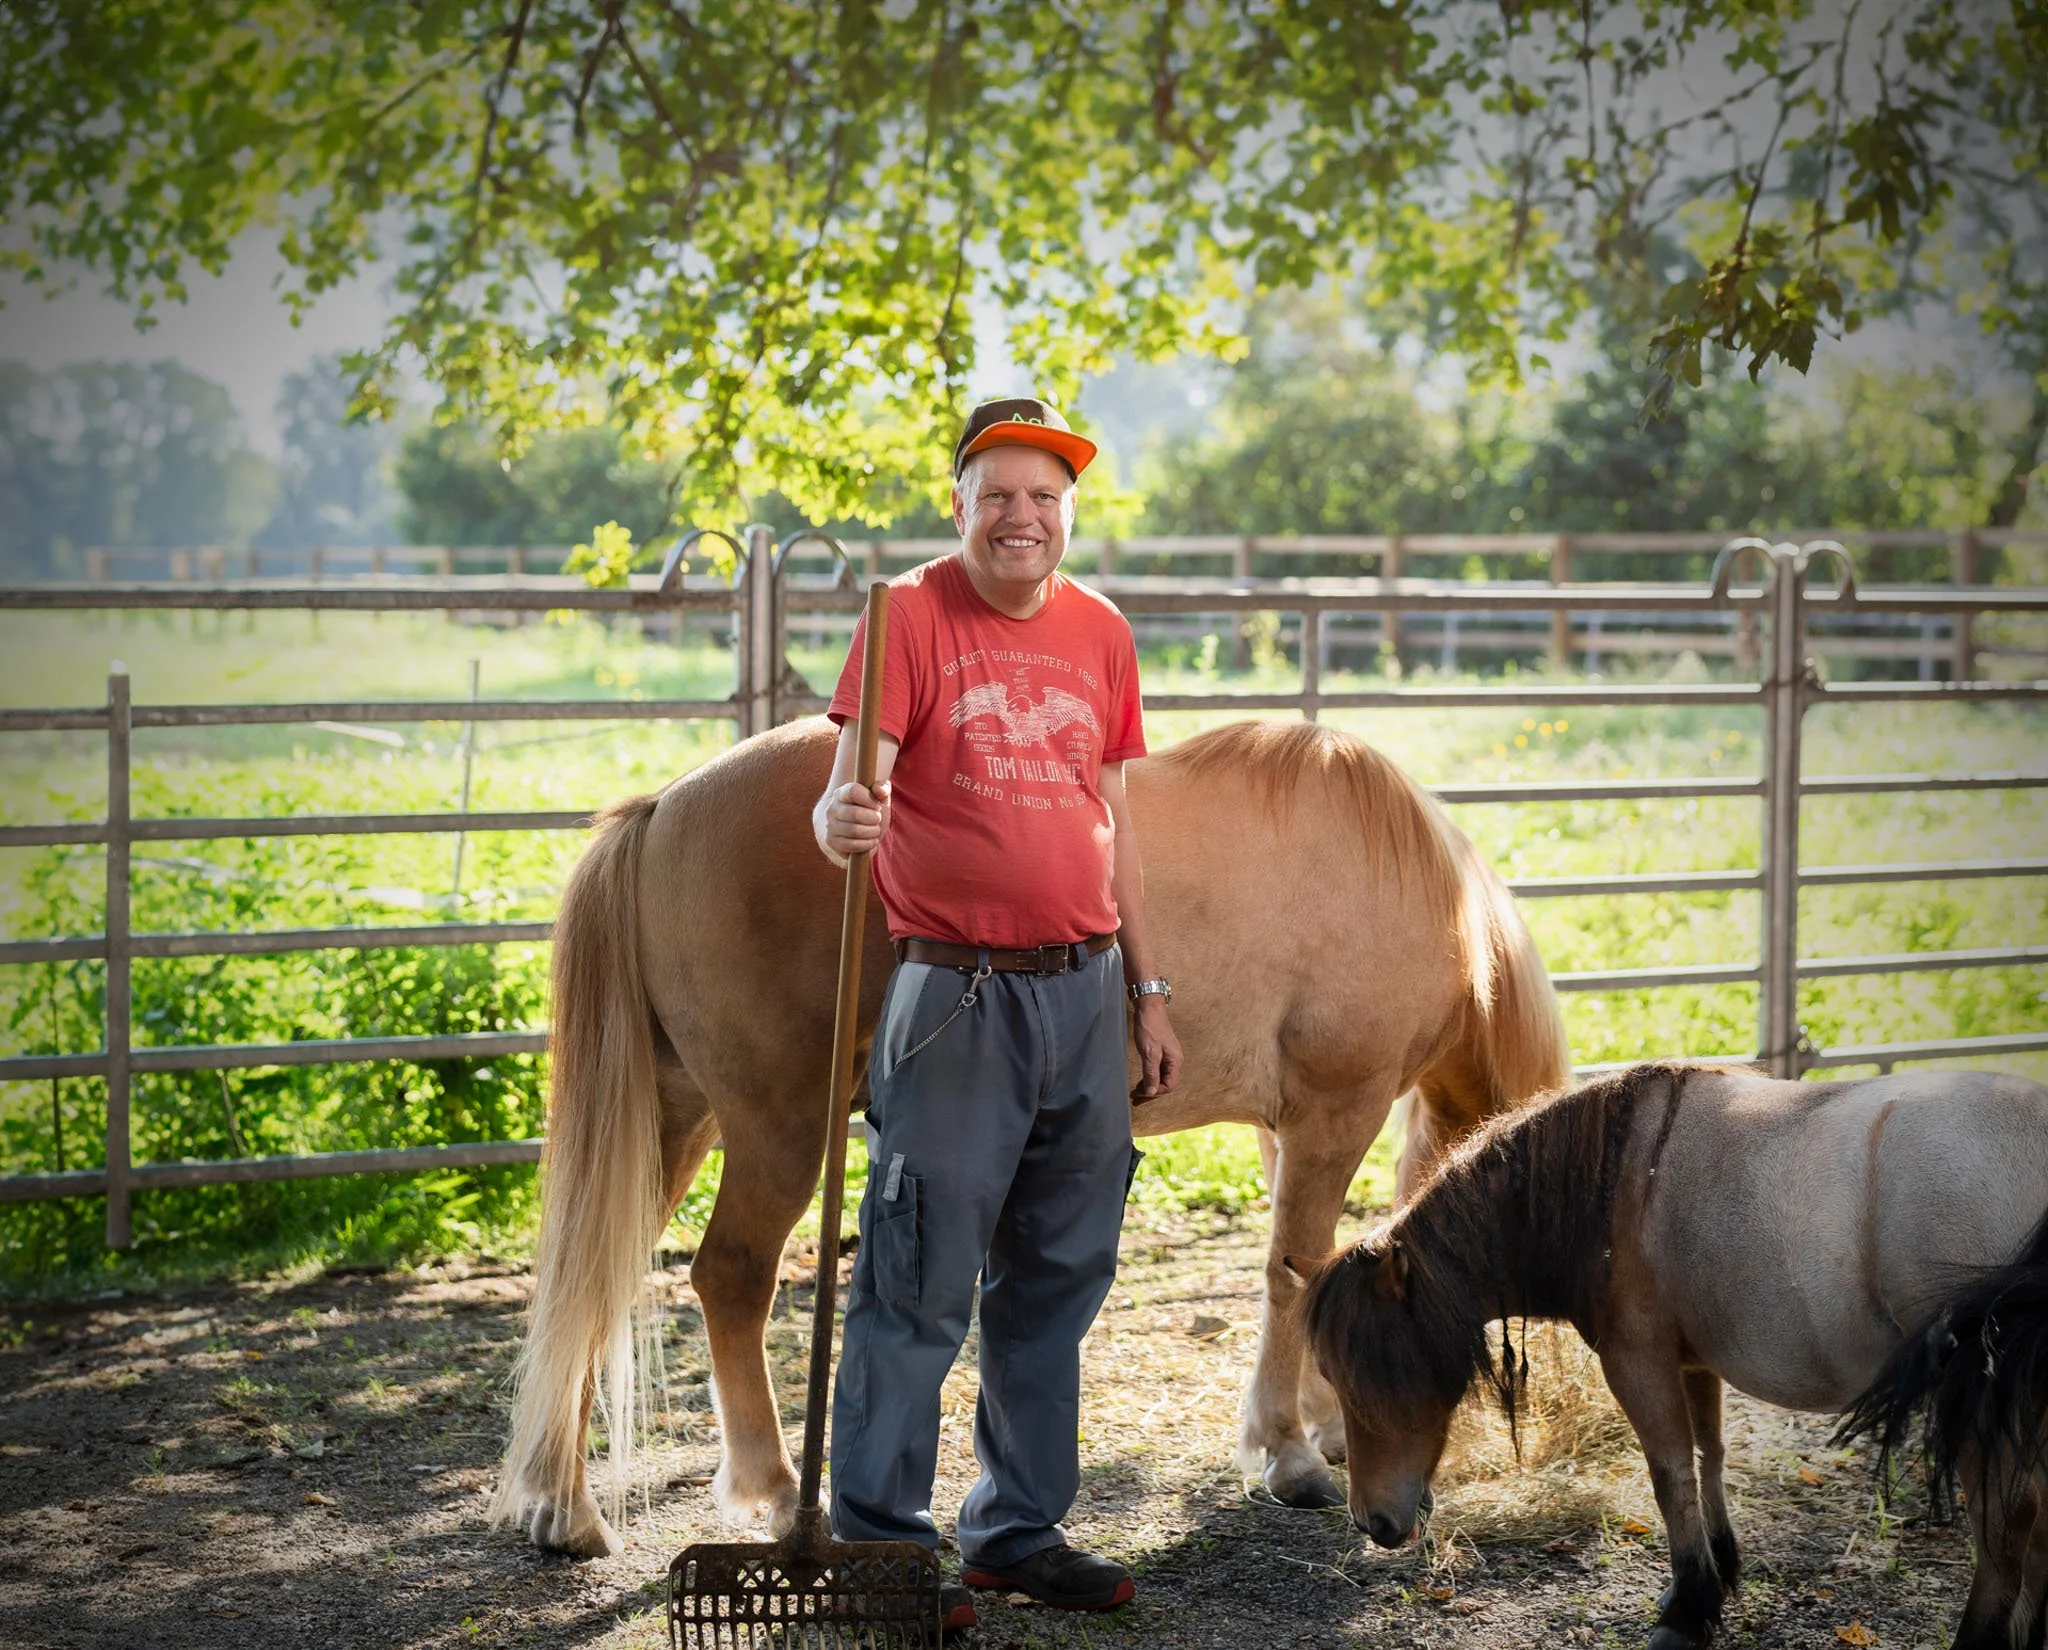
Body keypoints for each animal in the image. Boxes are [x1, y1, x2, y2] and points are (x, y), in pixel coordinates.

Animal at [489, 716, 1570, 1558]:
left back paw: (563, 1510)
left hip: (676, 1123)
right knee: (729, 1277)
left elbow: (1309, 1263)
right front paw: (1291, 1454)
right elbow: (1292, 1270)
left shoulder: (1287, 1133)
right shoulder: (1333, 1110)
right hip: (776, 1126)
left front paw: (1316, 1426)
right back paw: (772, 1489)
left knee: (592, 1278)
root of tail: (662, 811)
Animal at [1297, 1061, 2048, 1650]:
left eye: (1369, 1377)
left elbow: (1670, 1477)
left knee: (2006, 1535)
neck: (1621, 1178)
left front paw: (1688, 1610)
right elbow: (1709, 1459)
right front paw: (1718, 1574)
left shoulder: (1639, 1364)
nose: (1373, 1523)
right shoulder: (1695, 1365)